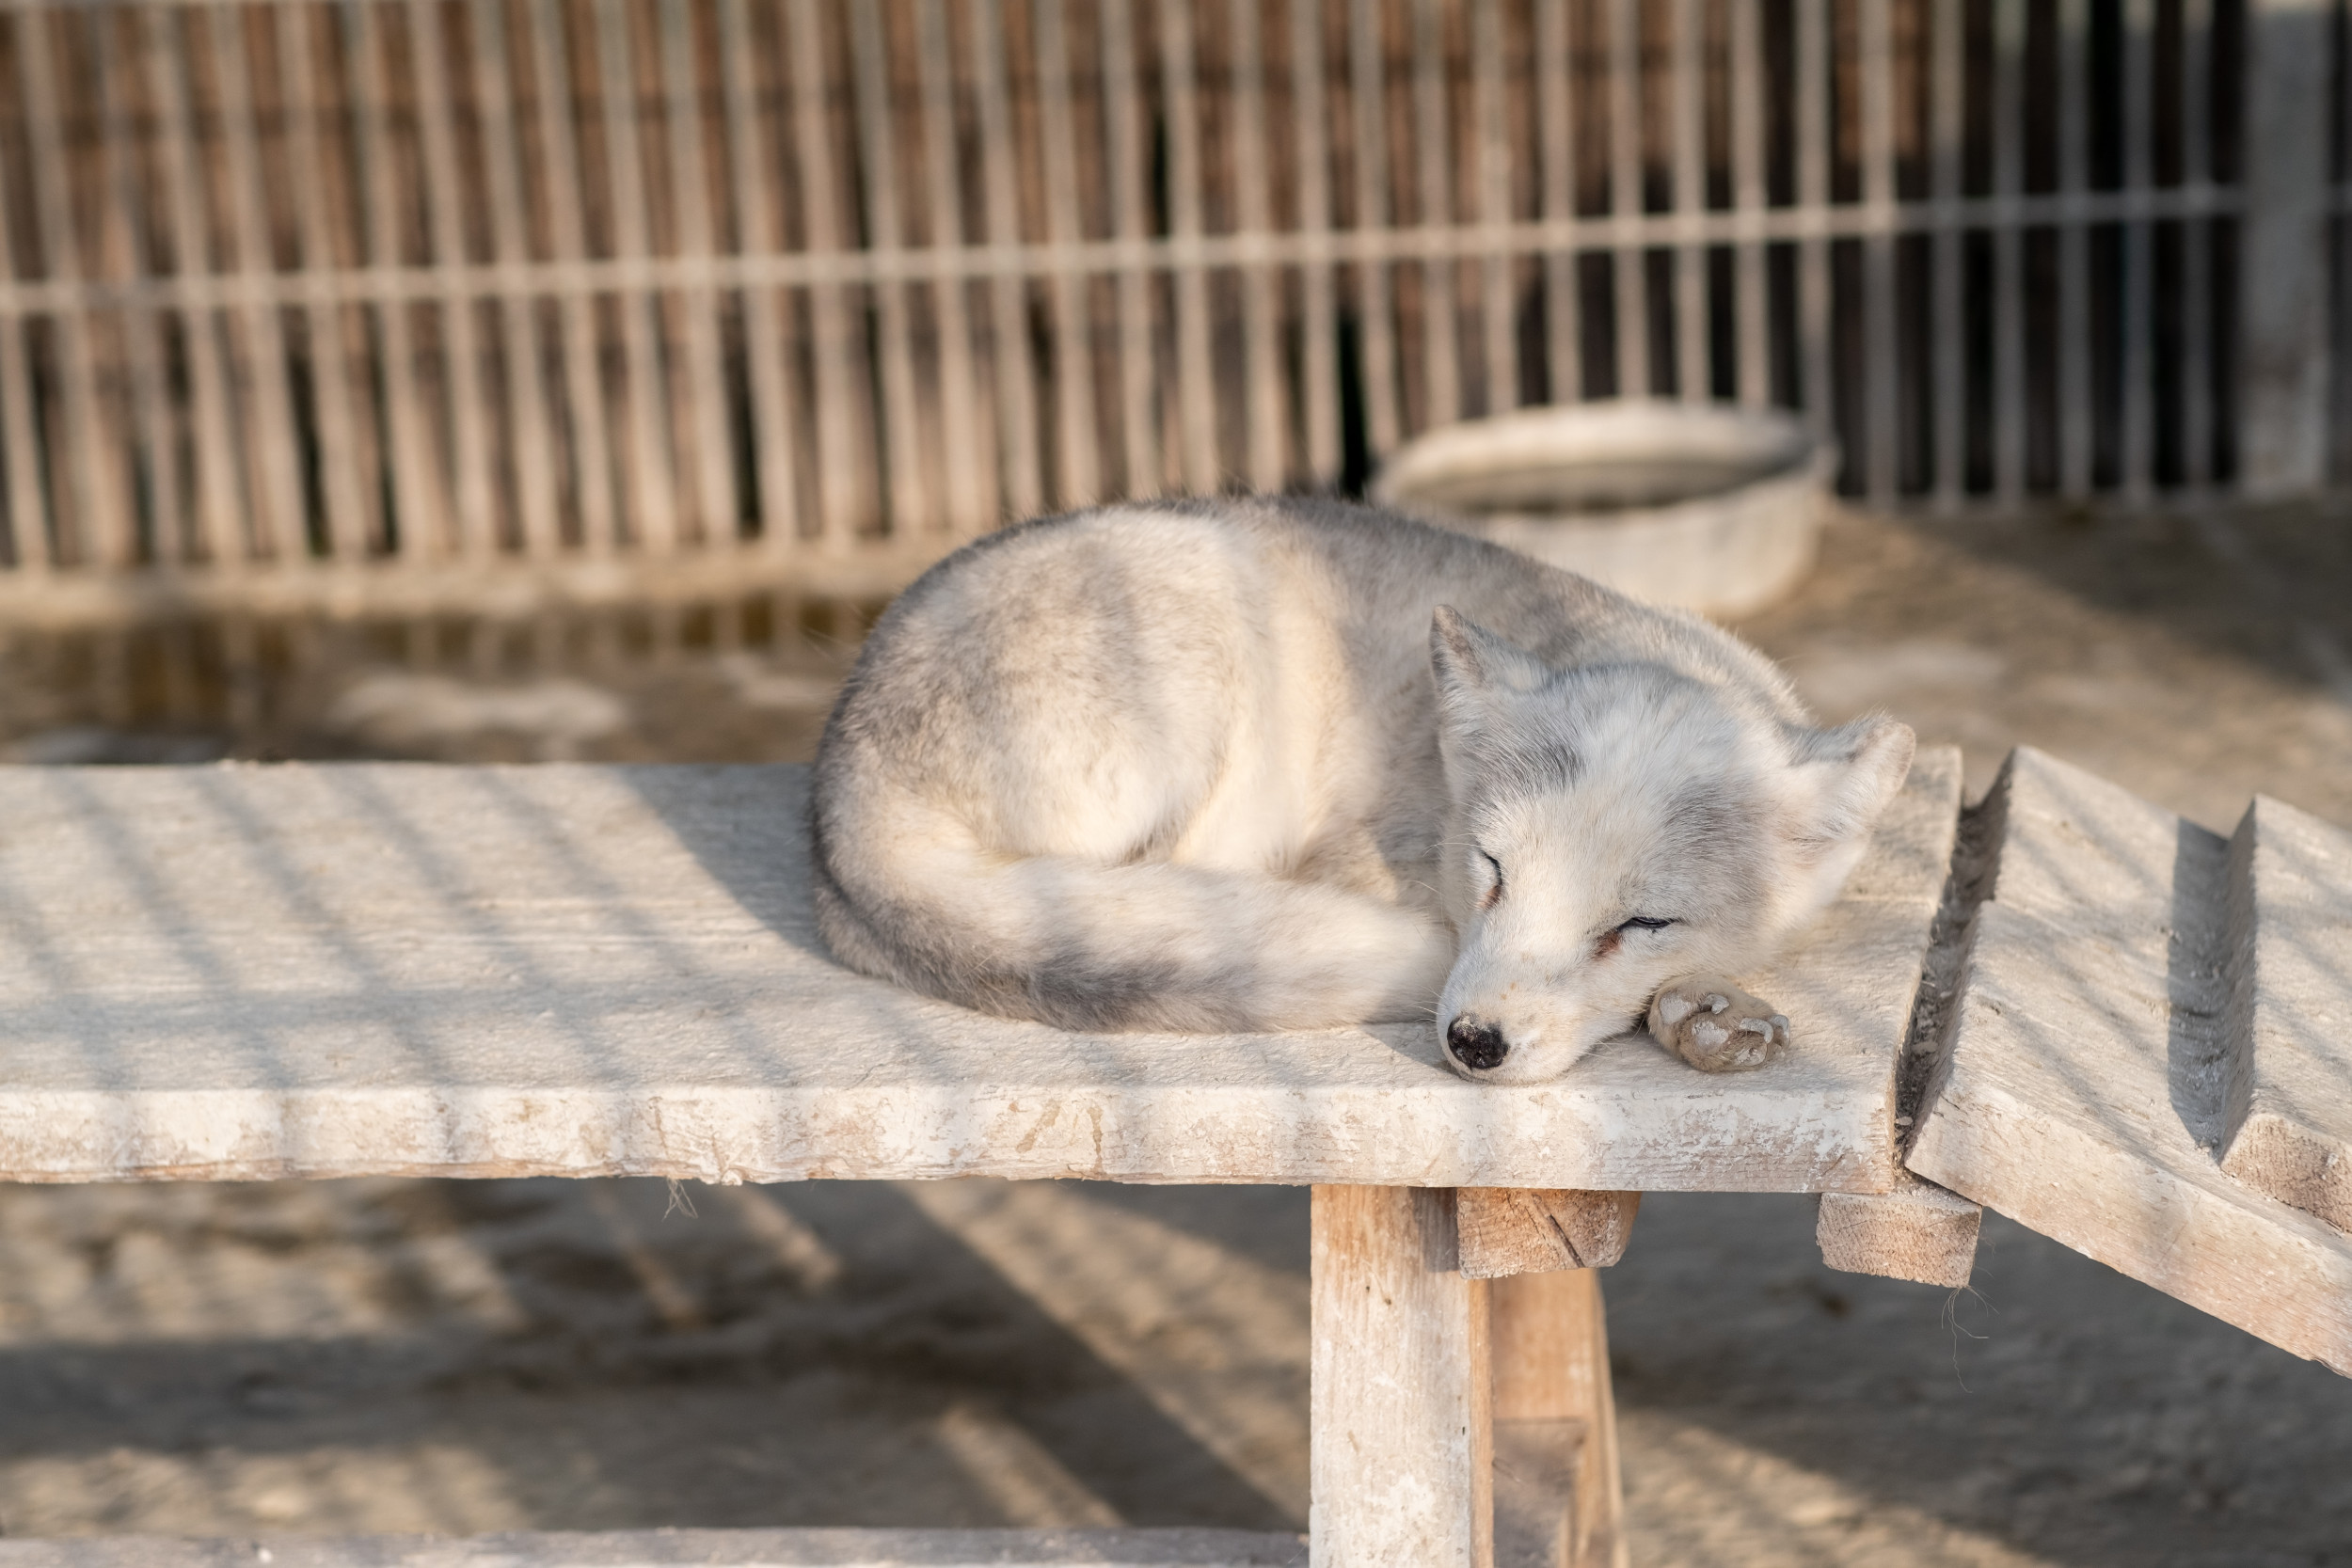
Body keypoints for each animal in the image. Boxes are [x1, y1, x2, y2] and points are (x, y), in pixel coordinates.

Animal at [809, 496, 1910, 1085]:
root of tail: (838, 787)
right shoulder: (1362, 853)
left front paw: (1705, 1011)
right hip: (1211, 632)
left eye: (1641, 923)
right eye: (1493, 868)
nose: (1472, 1042)